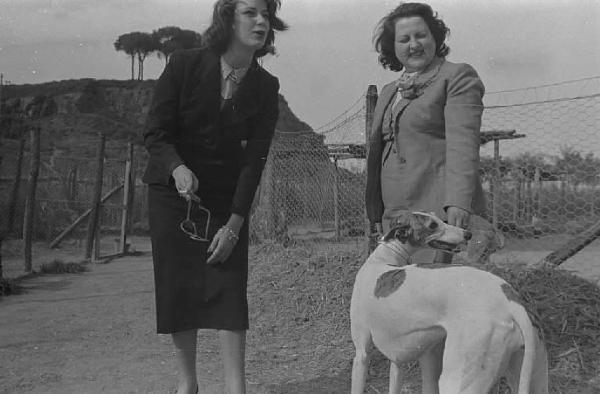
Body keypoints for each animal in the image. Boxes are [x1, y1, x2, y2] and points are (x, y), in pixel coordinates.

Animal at [350, 212, 548, 394]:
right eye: (432, 225)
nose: (467, 234)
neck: (383, 260)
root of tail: (511, 301)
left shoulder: (361, 354)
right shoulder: (398, 361)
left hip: (457, 378)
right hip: (529, 372)